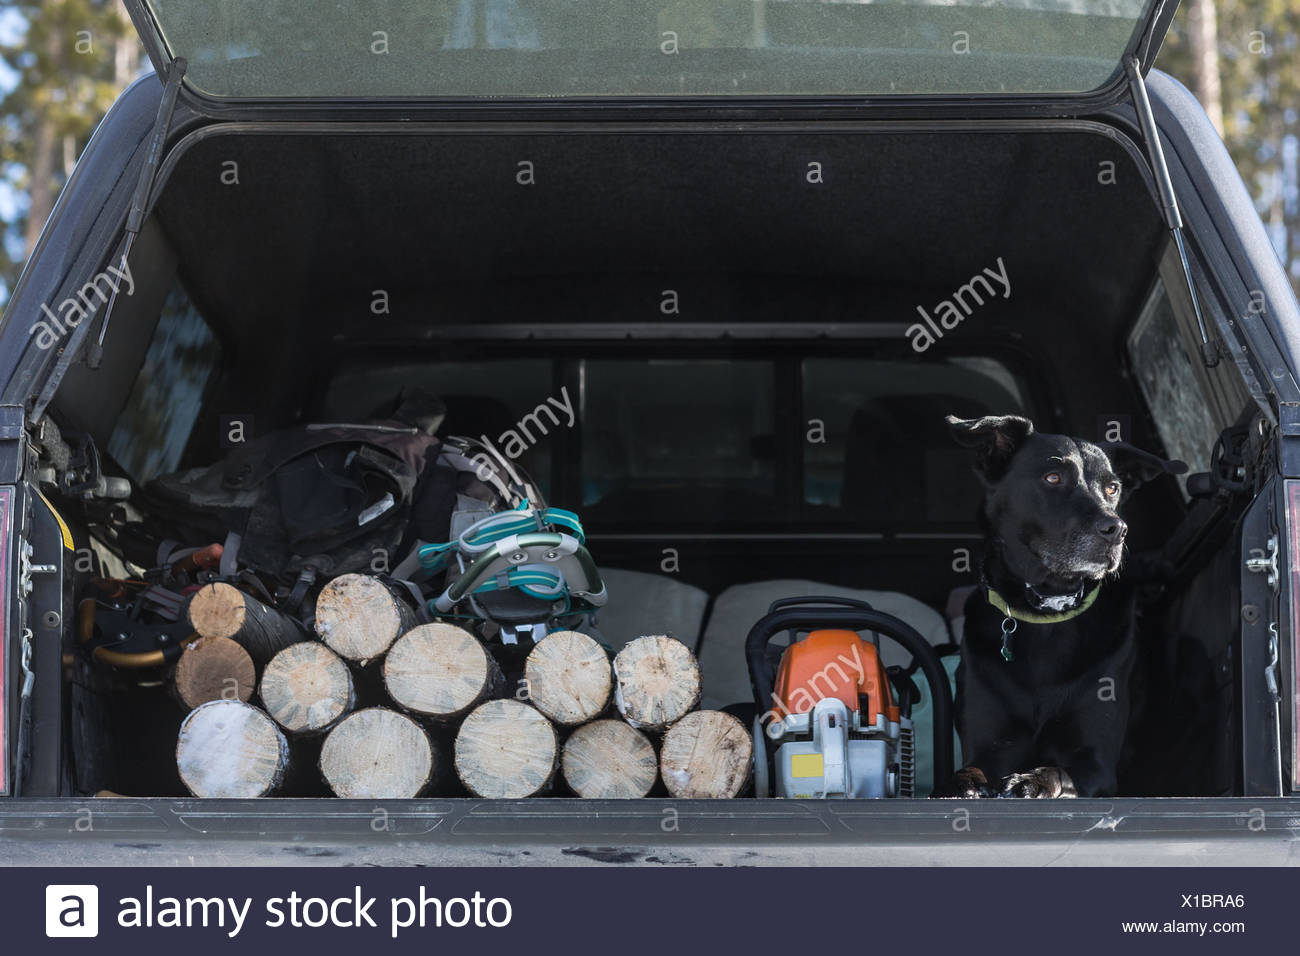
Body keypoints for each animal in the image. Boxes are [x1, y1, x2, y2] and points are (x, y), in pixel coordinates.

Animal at [935, 416, 1190, 796]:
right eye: (1053, 478)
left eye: (1112, 488)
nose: (1117, 530)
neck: (1048, 611)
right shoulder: (988, 748)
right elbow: (970, 769)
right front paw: (959, 784)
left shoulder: (1095, 764)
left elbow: (1059, 771)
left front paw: (1031, 780)